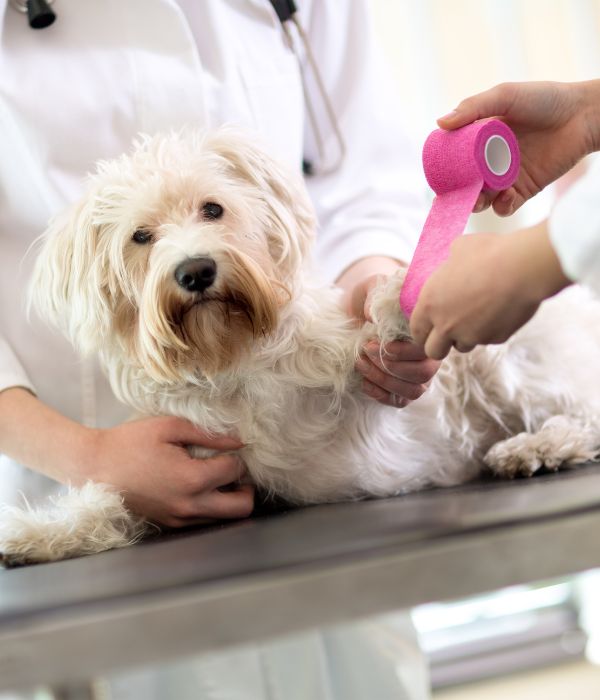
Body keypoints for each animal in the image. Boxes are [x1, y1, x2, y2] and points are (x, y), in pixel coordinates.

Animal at [3, 129, 600, 568]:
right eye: (140, 237)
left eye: (212, 209)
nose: (195, 271)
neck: (232, 357)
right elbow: (111, 503)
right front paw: (35, 534)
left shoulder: (361, 389)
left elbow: (374, 340)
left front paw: (403, 297)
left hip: (507, 364)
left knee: (584, 415)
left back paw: (535, 448)